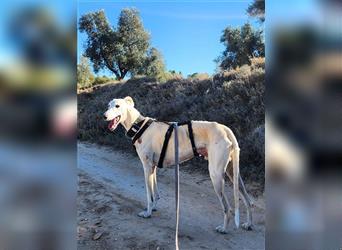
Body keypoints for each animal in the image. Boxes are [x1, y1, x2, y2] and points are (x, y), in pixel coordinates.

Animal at [103, 96, 252, 233]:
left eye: (117, 106)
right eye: (108, 105)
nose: (104, 116)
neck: (139, 126)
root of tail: (224, 128)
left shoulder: (146, 167)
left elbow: (149, 195)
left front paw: (148, 213)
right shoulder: (153, 168)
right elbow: (155, 192)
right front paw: (154, 207)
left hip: (216, 175)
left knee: (228, 208)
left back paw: (224, 228)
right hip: (233, 172)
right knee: (248, 199)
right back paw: (248, 224)